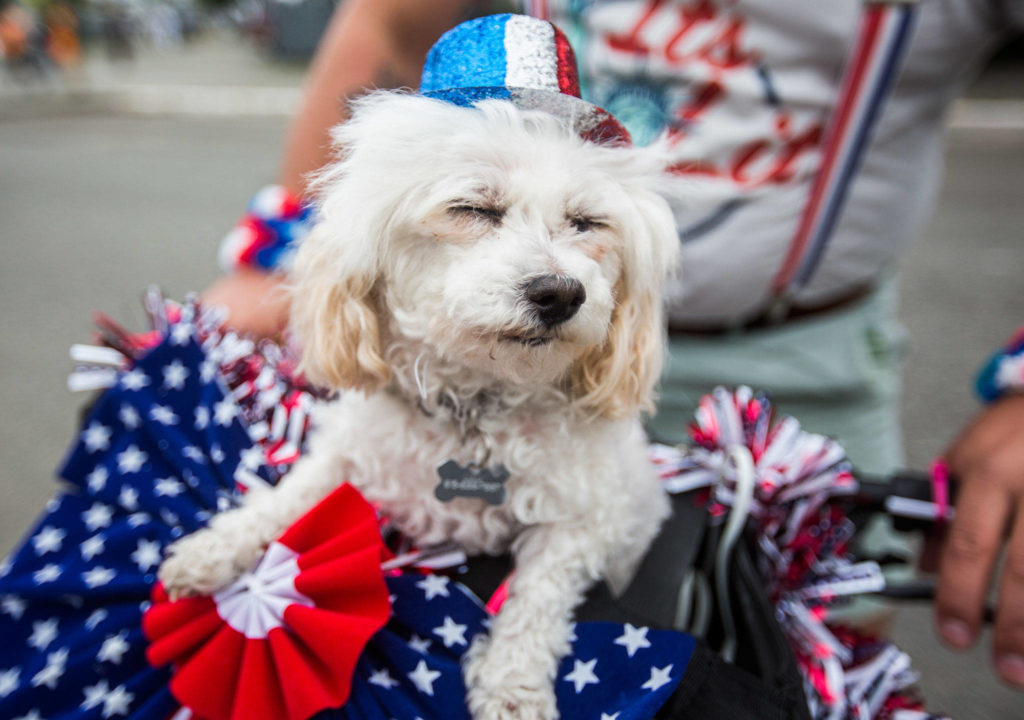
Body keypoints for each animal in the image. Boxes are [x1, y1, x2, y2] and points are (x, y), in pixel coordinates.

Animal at [159, 91, 684, 720]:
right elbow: (289, 497)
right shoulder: (349, 454)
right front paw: (214, 548)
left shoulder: (590, 519)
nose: (560, 293)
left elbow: (537, 601)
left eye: (586, 223)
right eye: (473, 208)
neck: (475, 408)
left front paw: (512, 687)